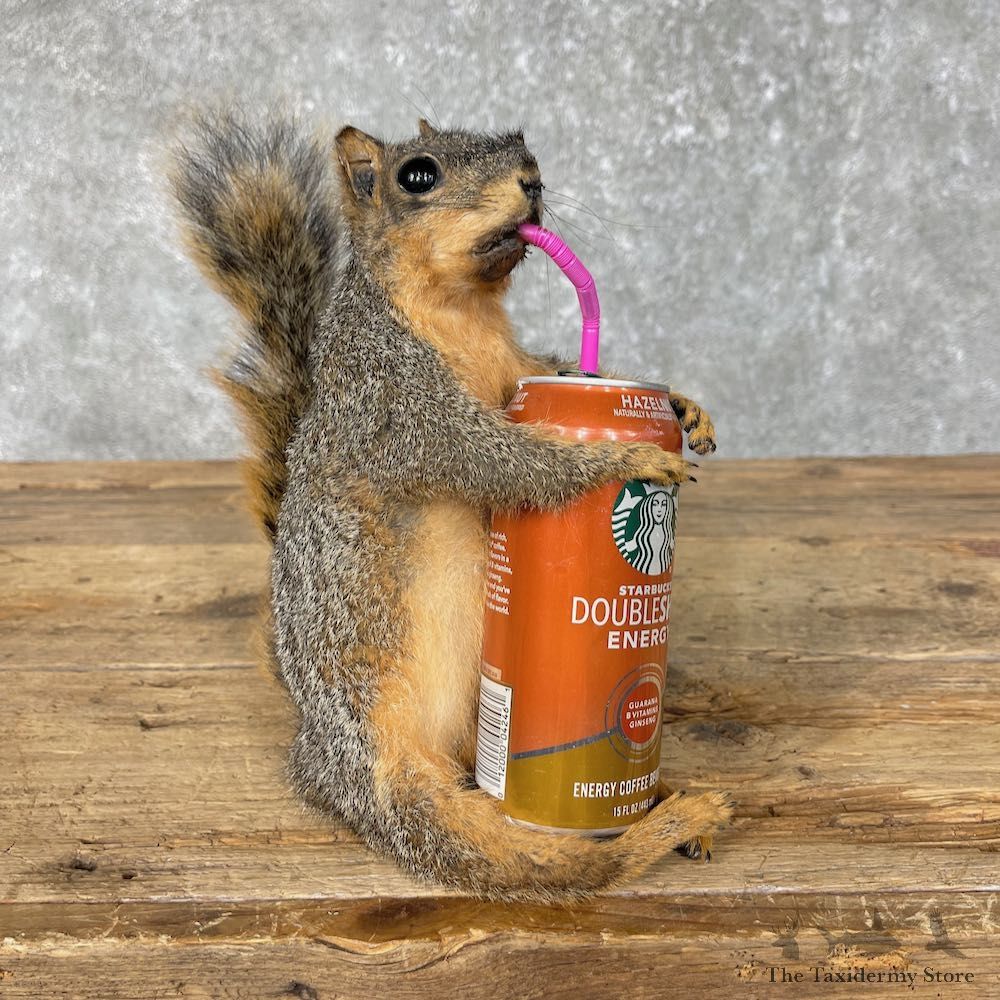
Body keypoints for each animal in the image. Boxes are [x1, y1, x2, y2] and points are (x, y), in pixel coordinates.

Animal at [171, 112, 732, 903]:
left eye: (524, 147)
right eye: (418, 175)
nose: (532, 181)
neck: (463, 312)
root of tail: (316, 747)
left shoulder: (518, 373)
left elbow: (553, 379)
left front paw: (680, 405)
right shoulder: (396, 403)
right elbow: (501, 461)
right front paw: (624, 460)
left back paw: (664, 802)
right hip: (393, 782)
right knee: (545, 866)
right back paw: (664, 824)